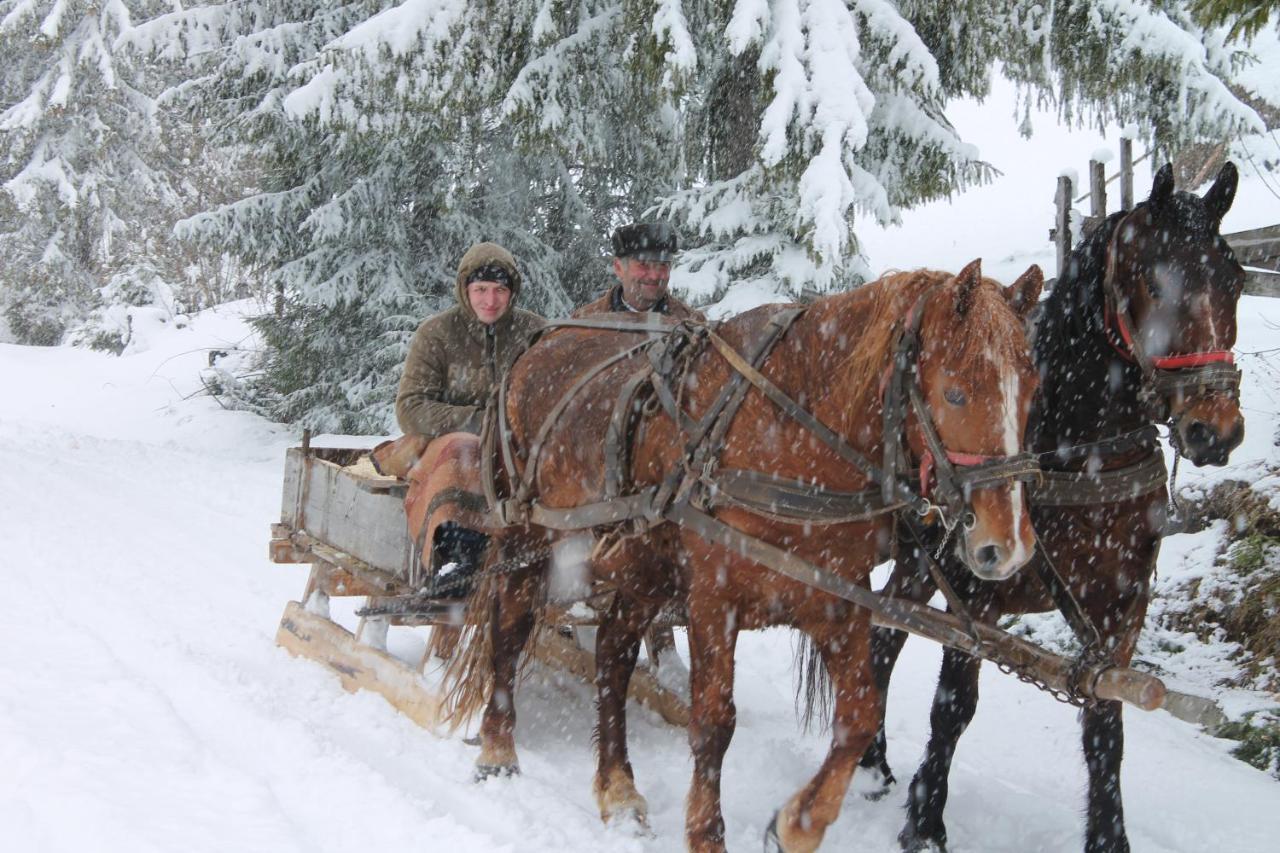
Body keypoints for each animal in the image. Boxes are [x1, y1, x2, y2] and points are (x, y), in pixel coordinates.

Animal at [445, 262, 1044, 845]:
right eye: (955, 393)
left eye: (1032, 391)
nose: (1008, 546)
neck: (792, 440)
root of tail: (535, 346)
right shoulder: (715, 601)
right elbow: (713, 723)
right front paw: (707, 835)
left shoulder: (836, 602)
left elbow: (859, 716)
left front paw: (797, 824)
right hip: (526, 537)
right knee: (510, 631)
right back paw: (498, 750)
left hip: (644, 571)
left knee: (612, 656)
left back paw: (618, 790)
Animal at [855, 162, 1244, 845]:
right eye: (1153, 280)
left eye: (1237, 280)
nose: (1215, 427)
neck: (1079, 452)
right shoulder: (974, 589)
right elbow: (954, 706)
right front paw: (925, 821)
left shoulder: (1121, 606)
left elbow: (1104, 725)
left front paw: (1109, 836)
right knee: (879, 635)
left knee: (884, 635)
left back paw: (872, 761)